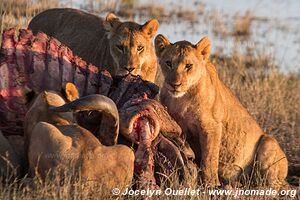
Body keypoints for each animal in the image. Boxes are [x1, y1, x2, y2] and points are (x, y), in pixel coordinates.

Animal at [155, 34, 288, 188]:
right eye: (168, 63)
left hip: (268, 142)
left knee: (274, 184)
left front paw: (210, 184)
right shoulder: (179, 127)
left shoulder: (212, 126)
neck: (181, 99)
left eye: (188, 66)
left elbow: (209, 158)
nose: (174, 84)